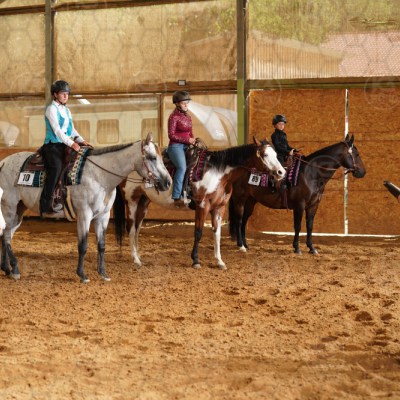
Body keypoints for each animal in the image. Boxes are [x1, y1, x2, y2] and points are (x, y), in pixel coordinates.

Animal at [0, 133, 171, 283]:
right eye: (152, 157)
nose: (168, 182)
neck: (99, 175)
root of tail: (3, 163)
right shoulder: (84, 214)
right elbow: (82, 245)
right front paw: (82, 275)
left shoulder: (103, 216)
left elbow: (101, 245)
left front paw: (103, 273)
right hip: (10, 208)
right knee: (7, 236)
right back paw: (15, 270)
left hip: (18, 211)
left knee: (5, 234)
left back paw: (7, 269)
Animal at [114, 137, 286, 269]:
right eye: (265, 154)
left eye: (276, 154)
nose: (281, 172)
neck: (218, 173)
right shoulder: (202, 206)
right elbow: (198, 232)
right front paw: (195, 260)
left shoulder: (219, 208)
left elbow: (217, 233)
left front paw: (220, 261)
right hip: (131, 201)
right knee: (131, 228)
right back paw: (135, 259)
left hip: (144, 202)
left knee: (137, 228)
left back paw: (138, 256)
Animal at [229, 134, 366, 254]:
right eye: (357, 154)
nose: (363, 172)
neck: (311, 173)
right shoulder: (299, 205)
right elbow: (298, 226)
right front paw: (297, 248)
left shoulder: (313, 205)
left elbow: (309, 226)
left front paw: (312, 248)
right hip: (239, 199)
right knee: (239, 220)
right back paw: (240, 245)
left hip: (251, 200)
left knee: (245, 220)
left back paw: (246, 244)